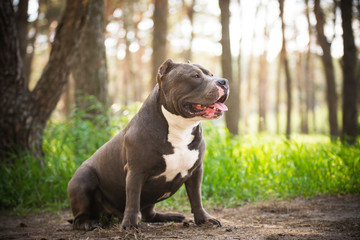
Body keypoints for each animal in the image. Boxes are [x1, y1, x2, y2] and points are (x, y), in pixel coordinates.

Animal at [67, 58, 229, 231]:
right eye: (195, 76)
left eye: (211, 74)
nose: (224, 81)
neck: (180, 128)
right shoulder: (135, 171)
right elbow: (132, 198)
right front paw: (130, 224)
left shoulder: (196, 170)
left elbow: (196, 197)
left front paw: (204, 219)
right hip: (83, 179)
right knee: (79, 216)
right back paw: (88, 223)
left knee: (149, 214)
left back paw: (169, 216)